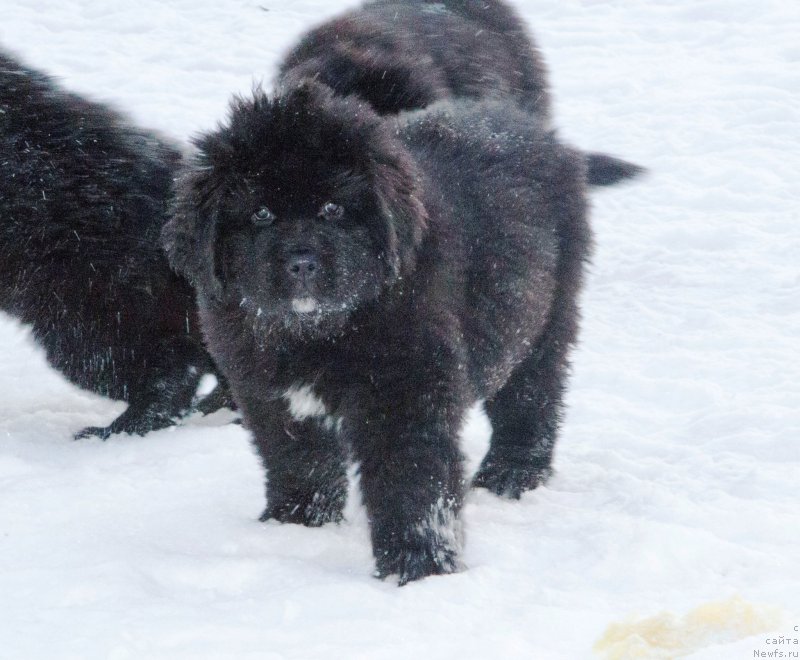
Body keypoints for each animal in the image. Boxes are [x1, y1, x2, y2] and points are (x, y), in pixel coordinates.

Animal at [164, 82, 592, 584]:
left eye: (333, 208)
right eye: (261, 214)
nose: (302, 263)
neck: (316, 332)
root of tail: (529, 126)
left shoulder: (405, 392)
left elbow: (410, 481)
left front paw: (419, 567)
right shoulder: (268, 393)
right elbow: (299, 462)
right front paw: (297, 525)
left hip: (543, 321)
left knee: (531, 400)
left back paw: (510, 475)